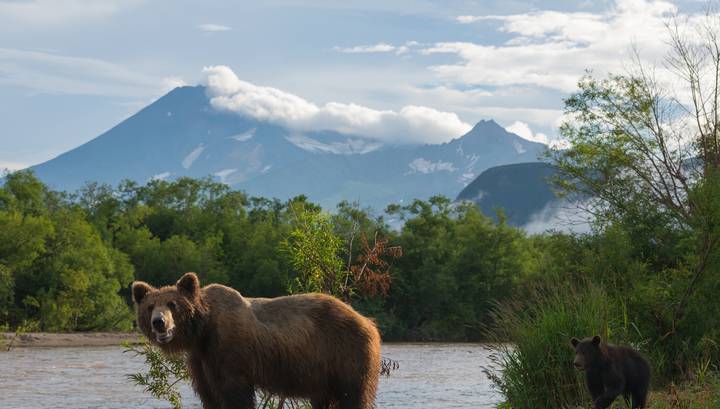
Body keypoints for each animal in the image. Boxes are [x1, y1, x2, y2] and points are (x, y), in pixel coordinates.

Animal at [133, 270, 386, 408]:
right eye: (150, 306)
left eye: (172, 304)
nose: (159, 322)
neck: (202, 331)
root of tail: (368, 321)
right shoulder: (201, 360)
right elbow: (209, 394)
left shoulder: (230, 353)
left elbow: (235, 394)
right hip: (322, 373)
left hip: (346, 353)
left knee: (354, 395)